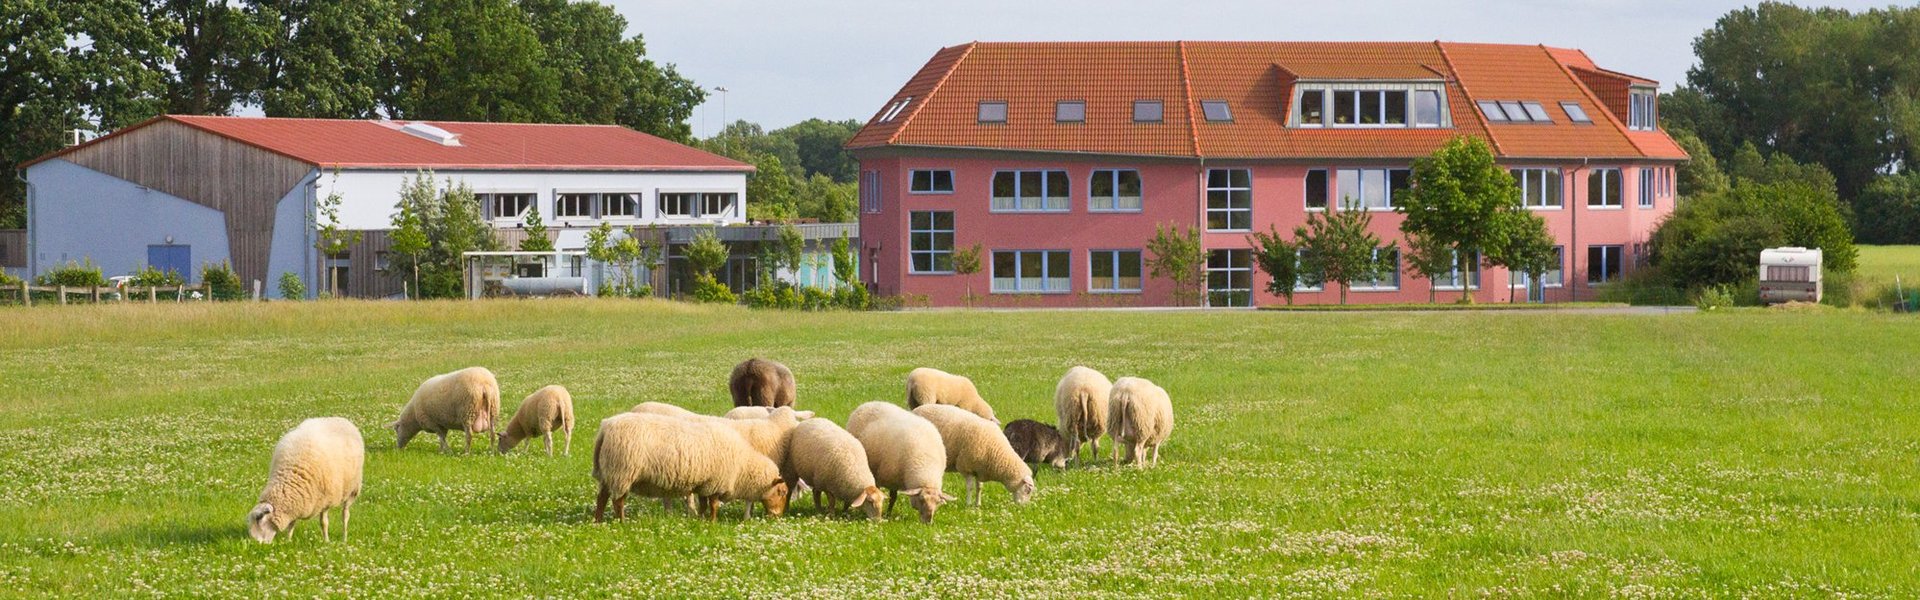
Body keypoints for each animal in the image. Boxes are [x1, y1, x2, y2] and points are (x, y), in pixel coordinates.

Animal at [592, 412, 789, 522]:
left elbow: (703, 504)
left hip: (608, 472)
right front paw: (712, 522)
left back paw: (598, 521)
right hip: (622, 472)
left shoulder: (704, 483)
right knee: (618, 501)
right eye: (782, 492)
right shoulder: (715, 482)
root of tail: (606, 427)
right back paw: (622, 522)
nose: (778, 517)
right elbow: (714, 505)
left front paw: (700, 520)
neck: (742, 466)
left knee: (602, 498)